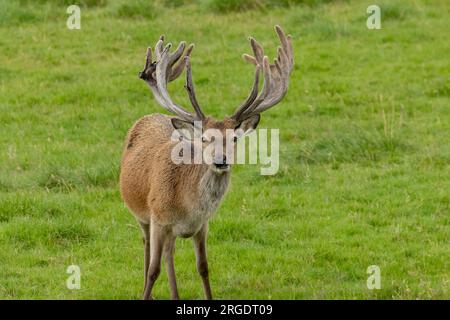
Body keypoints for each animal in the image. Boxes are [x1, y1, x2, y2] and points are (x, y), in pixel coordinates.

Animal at [119, 25, 296, 300]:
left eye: (234, 138)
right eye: (204, 138)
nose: (221, 160)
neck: (186, 205)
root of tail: (150, 115)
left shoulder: (202, 225)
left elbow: (203, 266)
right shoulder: (158, 218)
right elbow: (153, 271)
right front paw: (145, 292)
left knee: (170, 253)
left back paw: (175, 296)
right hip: (141, 215)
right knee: (147, 248)